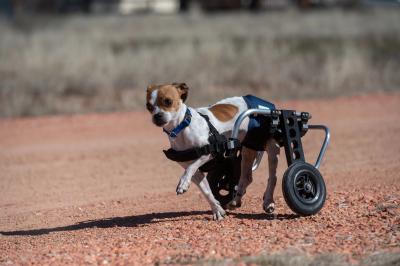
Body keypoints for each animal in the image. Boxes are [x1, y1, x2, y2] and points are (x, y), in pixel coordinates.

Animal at [145, 83, 280, 220]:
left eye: (168, 101)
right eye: (149, 106)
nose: (157, 116)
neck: (182, 127)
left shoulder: (207, 153)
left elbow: (190, 169)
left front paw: (183, 183)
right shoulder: (196, 173)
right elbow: (206, 191)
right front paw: (217, 210)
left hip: (271, 148)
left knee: (272, 177)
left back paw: (268, 201)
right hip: (248, 150)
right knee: (247, 177)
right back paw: (235, 201)